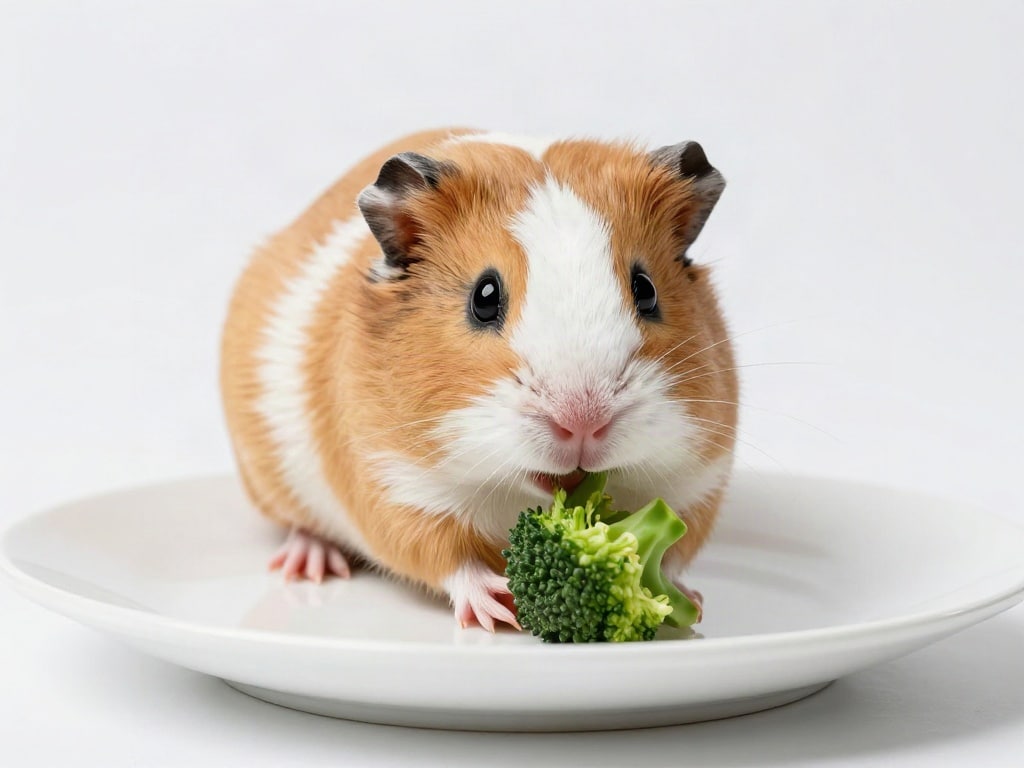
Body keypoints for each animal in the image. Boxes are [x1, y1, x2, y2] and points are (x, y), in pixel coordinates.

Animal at [220, 128, 738, 630]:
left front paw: (690, 606)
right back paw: (309, 565)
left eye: (645, 290)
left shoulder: (697, 481)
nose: (582, 422)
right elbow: (447, 556)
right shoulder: (394, 483)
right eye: (484, 297)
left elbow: (673, 551)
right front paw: (499, 608)